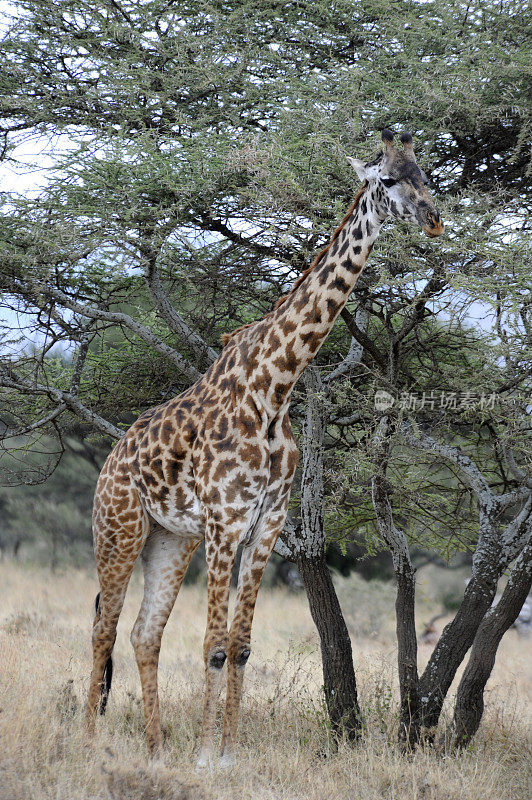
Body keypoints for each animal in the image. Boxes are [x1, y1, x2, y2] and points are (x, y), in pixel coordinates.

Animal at [85, 131, 442, 768]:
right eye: (388, 180)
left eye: (425, 174)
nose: (434, 219)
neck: (276, 388)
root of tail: (107, 464)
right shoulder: (226, 521)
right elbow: (212, 644)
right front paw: (207, 756)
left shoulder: (267, 523)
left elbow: (242, 644)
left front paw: (228, 752)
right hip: (120, 528)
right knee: (104, 626)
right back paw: (84, 743)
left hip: (169, 540)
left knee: (143, 633)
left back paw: (155, 749)